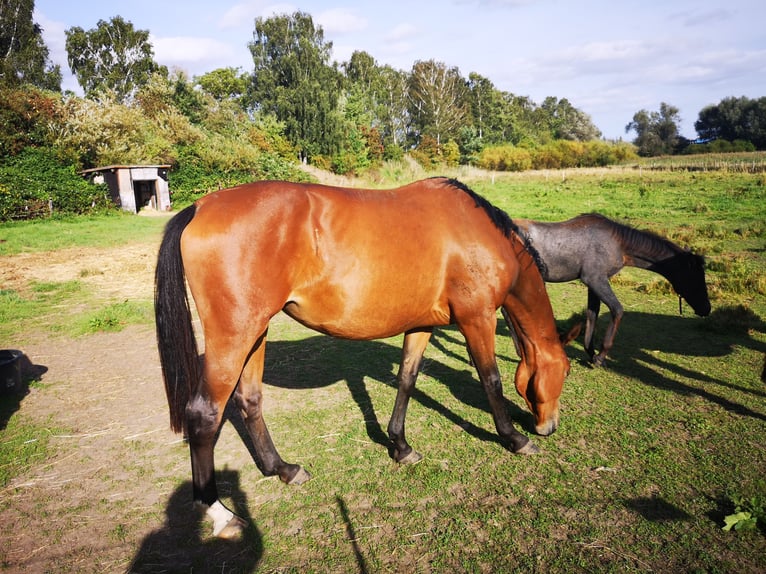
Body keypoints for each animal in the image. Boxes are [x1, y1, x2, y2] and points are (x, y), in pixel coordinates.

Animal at [156, 177, 572, 540]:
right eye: (565, 371)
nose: (549, 426)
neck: (477, 232)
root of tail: (200, 207)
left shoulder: (422, 324)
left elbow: (407, 379)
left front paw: (400, 446)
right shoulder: (477, 318)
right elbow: (491, 380)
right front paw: (515, 439)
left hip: (256, 334)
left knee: (250, 400)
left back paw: (284, 469)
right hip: (235, 336)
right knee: (205, 415)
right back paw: (220, 514)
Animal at [512, 214, 712, 366]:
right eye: (696, 277)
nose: (706, 308)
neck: (618, 243)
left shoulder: (594, 284)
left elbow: (592, 315)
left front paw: (591, 353)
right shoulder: (595, 280)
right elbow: (617, 310)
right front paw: (600, 357)